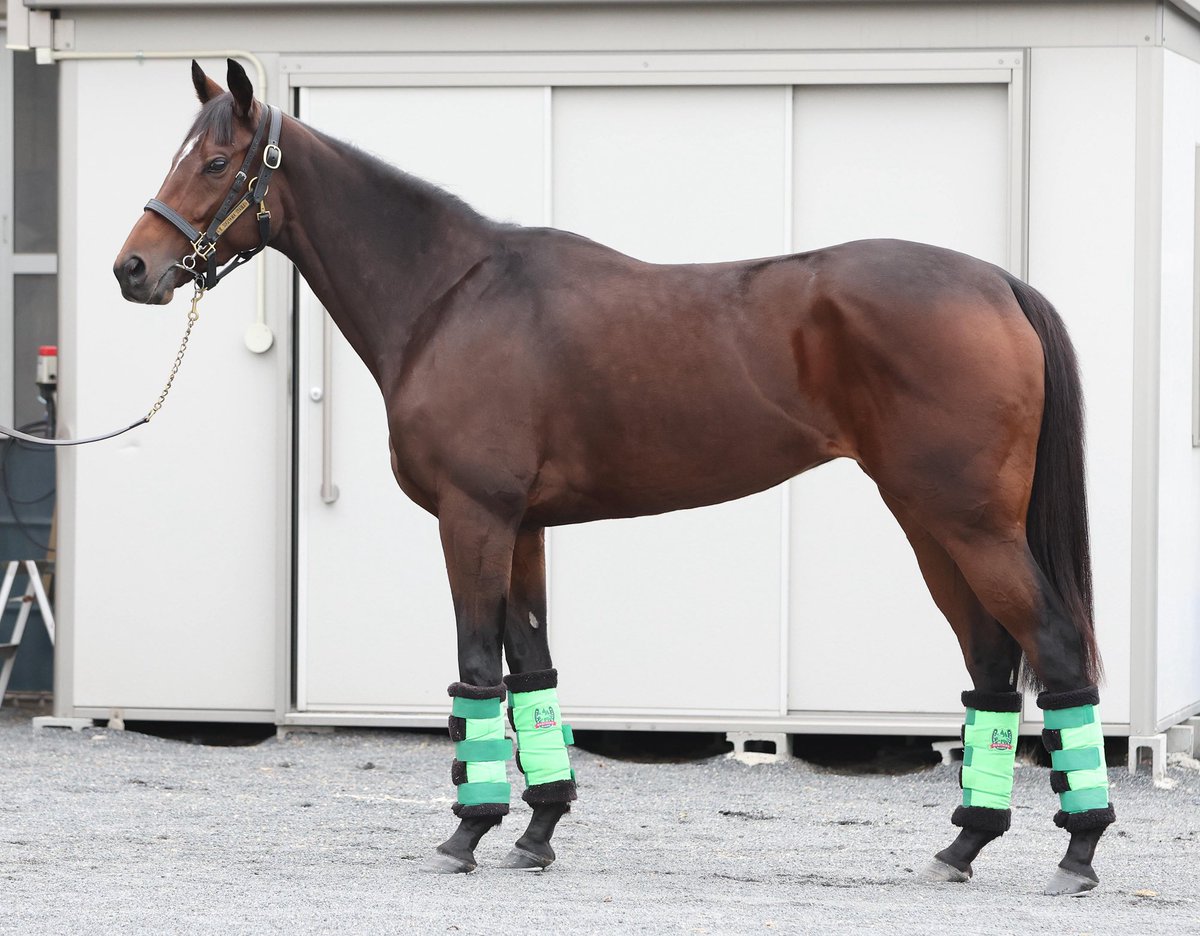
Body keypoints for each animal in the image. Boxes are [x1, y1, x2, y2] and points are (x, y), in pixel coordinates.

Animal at [114, 59, 1114, 895]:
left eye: (215, 162)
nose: (132, 268)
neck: (450, 296)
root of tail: (997, 283)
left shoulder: (473, 519)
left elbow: (477, 672)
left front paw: (467, 832)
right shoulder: (523, 529)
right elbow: (533, 673)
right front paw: (536, 831)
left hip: (969, 523)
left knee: (1057, 649)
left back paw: (1078, 849)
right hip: (930, 522)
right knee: (990, 666)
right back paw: (963, 842)